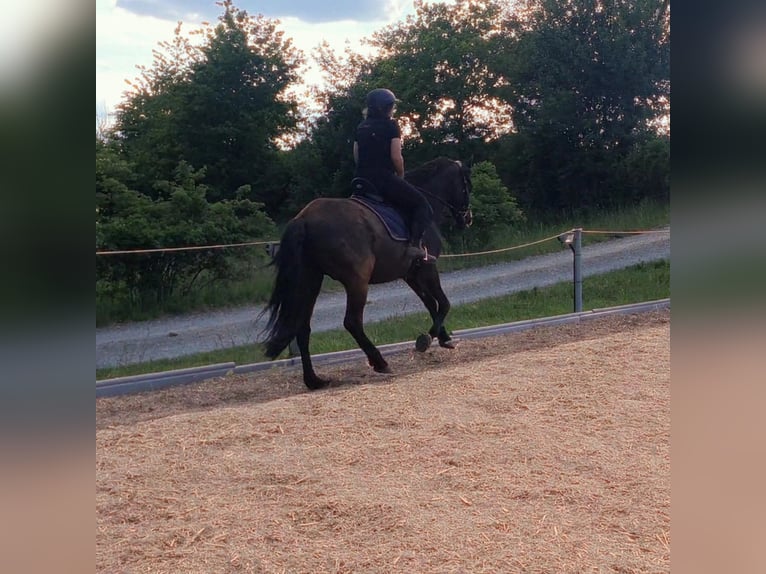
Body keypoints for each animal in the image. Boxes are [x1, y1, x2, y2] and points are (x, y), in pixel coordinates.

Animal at [260, 156, 473, 390]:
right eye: (466, 186)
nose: (467, 219)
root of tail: (304, 218)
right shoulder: (427, 268)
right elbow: (443, 303)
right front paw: (428, 338)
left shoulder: (411, 274)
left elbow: (430, 304)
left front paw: (442, 337)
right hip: (357, 281)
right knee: (352, 322)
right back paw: (380, 362)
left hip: (310, 281)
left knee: (303, 327)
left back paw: (314, 380)